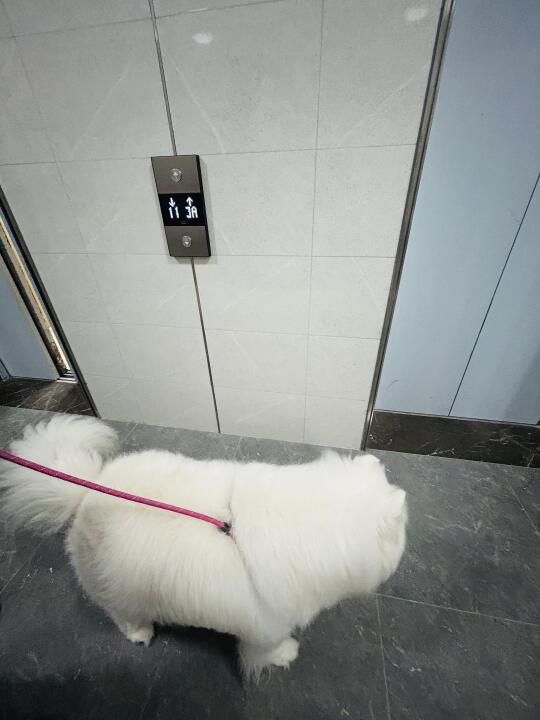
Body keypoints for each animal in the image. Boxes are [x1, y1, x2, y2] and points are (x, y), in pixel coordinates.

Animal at [0, 415, 407, 677]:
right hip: (119, 591)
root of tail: (85, 495)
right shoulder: (266, 626)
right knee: (122, 615)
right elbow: (268, 649)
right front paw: (285, 655)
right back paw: (141, 634)